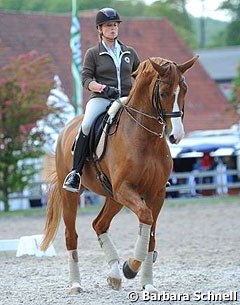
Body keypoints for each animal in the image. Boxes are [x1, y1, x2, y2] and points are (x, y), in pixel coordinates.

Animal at [40, 54, 198, 292]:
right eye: (163, 93)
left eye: (185, 90)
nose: (175, 136)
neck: (144, 137)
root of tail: (67, 127)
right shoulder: (125, 189)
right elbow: (145, 217)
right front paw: (130, 267)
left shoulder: (156, 194)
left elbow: (150, 235)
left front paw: (147, 283)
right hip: (73, 194)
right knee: (71, 235)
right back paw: (76, 284)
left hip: (113, 198)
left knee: (99, 225)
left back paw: (114, 275)